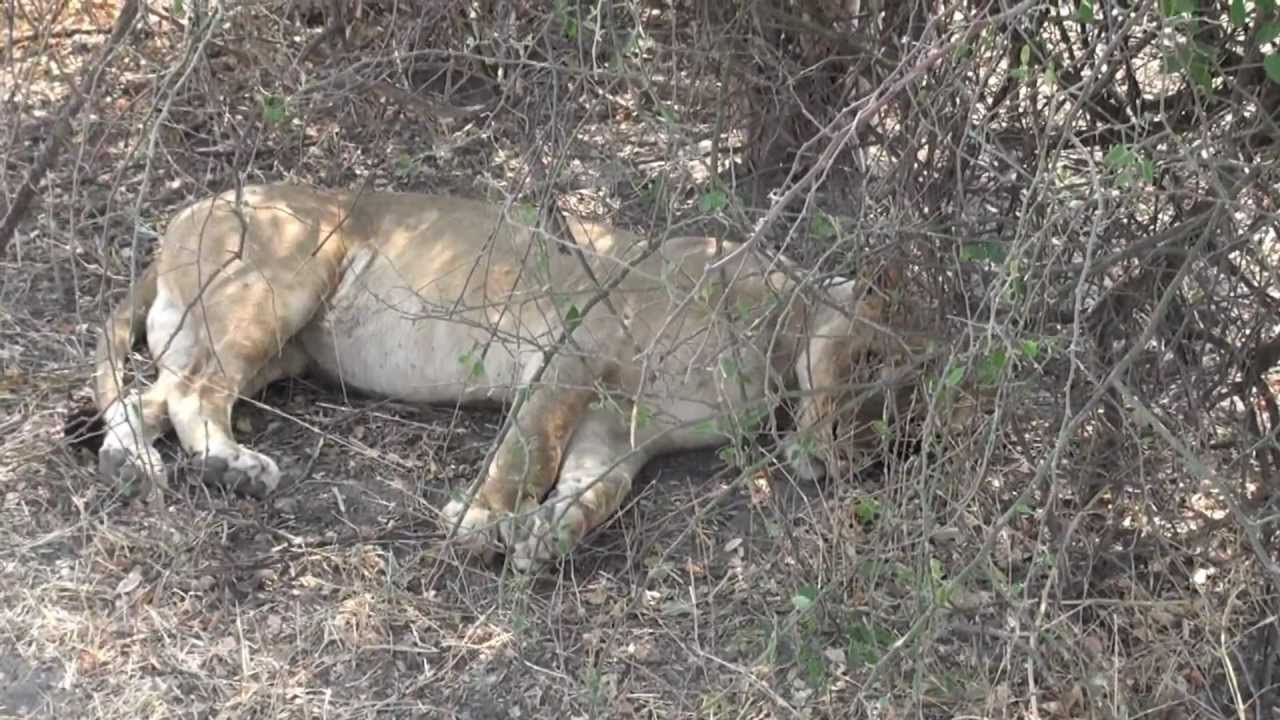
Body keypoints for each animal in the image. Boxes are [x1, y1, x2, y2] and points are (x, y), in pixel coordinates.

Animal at [86, 183, 927, 571]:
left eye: (902, 427)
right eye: (869, 369)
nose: (858, 457)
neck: (777, 349)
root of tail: (183, 216)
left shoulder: (626, 424)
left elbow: (594, 490)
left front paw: (544, 537)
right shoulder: (576, 346)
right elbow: (527, 451)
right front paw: (478, 522)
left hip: (265, 346)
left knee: (149, 394)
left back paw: (132, 461)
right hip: (279, 284)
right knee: (192, 393)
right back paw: (235, 467)